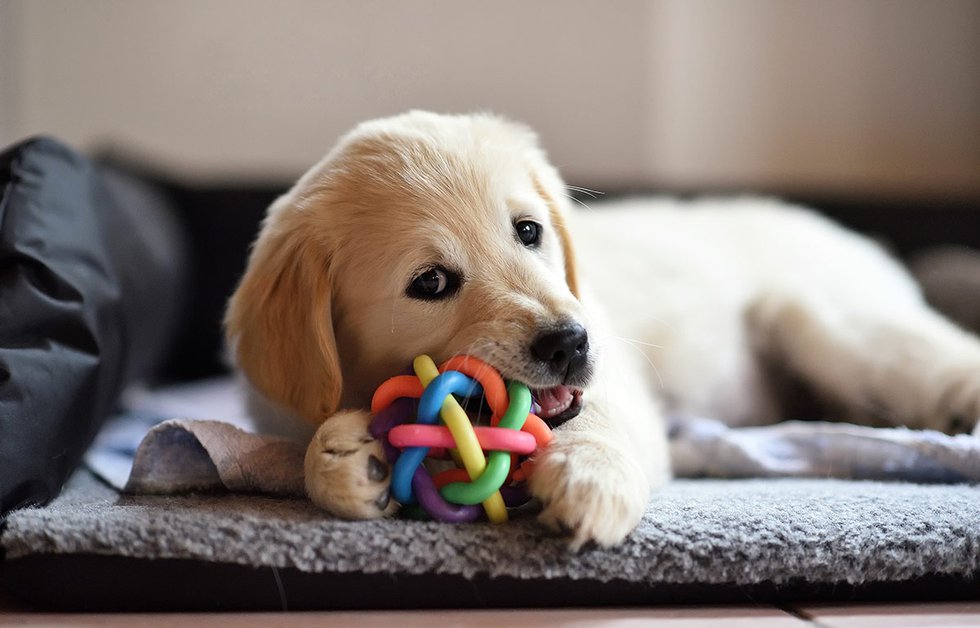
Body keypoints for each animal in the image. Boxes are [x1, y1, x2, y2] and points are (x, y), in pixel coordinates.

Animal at [226, 110, 980, 548]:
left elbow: (596, 420)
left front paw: (590, 478)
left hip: (825, 323)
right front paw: (345, 457)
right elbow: (307, 446)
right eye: (430, 283)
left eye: (529, 231)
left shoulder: (616, 378)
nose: (569, 342)